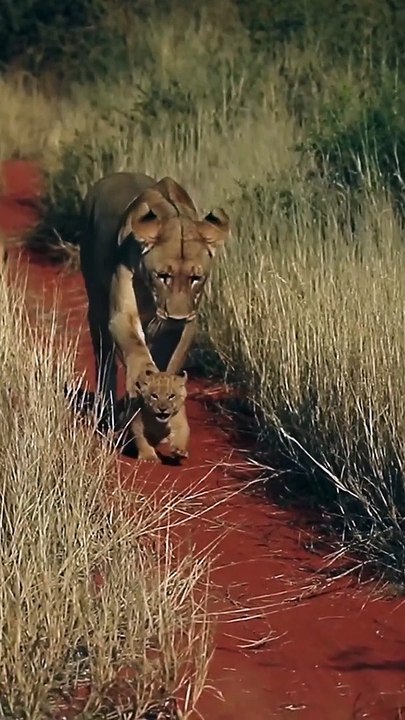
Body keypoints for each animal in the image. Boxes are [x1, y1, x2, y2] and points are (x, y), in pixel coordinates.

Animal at [80, 172, 230, 424]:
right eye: (163, 276)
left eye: (195, 278)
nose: (176, 316)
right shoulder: (122, 315)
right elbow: (135, 347)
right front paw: (142, 381)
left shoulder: (186, 324)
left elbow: (171, 360)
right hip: (96, 299)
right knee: (105, 355)